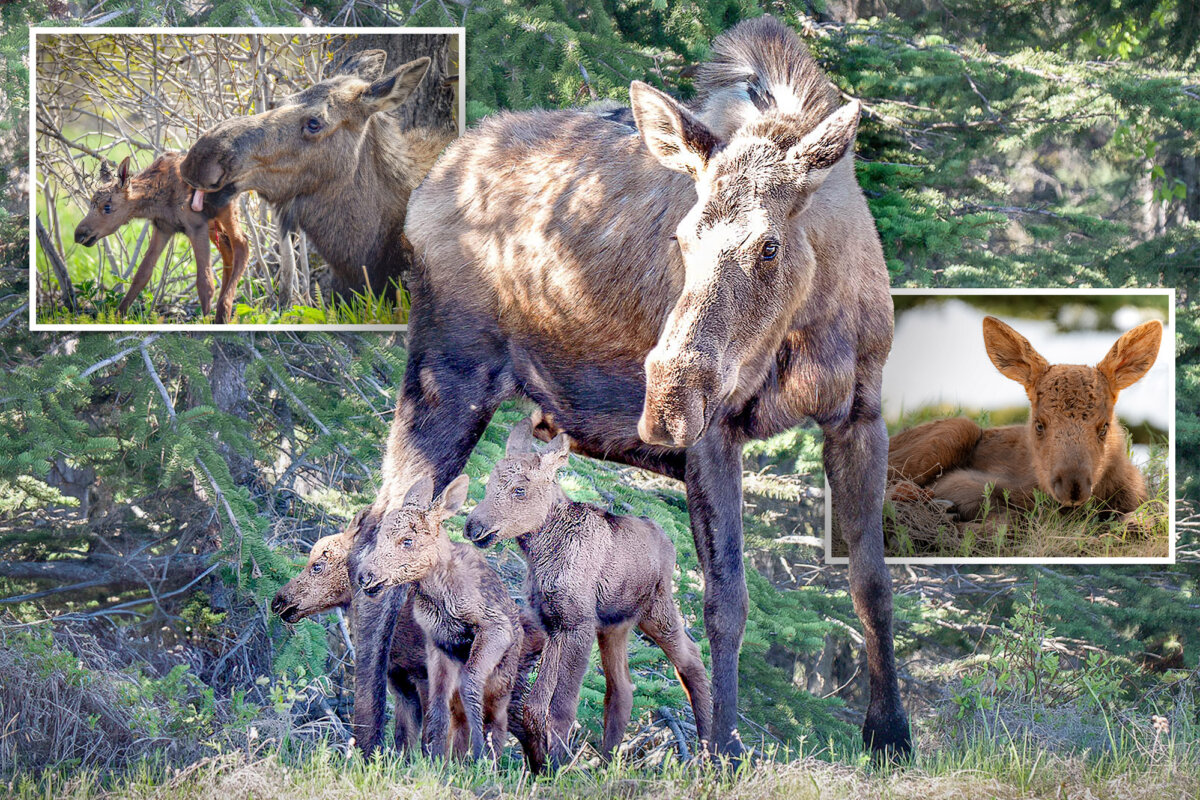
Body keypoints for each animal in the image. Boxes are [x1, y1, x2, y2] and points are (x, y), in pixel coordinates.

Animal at [72, 153, 249, 323]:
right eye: (91, 203)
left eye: (107, 207)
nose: (79, 234)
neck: (157, 200)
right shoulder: (163, 228)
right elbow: (142, 274)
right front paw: (118, 316)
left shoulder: (196, 226)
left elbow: (205, 283)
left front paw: (205, 321)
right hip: (213, 222)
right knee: (228, 250)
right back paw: (221, 313)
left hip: (226, 209)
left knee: (242, 244)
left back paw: (224, 308)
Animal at [355, 475, 533, 763]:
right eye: (380, 536)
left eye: (407, 540)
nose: (366, 575)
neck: (439, 595)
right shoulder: (437, 643)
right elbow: (438, 704)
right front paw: (434, 758)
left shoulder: (494, 627)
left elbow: (470, 686)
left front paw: (479, 757)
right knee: (457, 716)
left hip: (502, 683)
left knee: (497, 722)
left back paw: (489, 761)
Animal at [464, 420, 713, 773]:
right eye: (487, 484)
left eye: (519, 490)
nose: (473, 526)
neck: (542, 553)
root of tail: (669, 541)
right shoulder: (553, 624)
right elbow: (534, 705)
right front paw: (542, 766)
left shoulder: (576, 625)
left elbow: (561, 708)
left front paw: (557, 768)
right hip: (614, 627)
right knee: (621, 688)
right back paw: (607, 763)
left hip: (657, 611)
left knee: (692, 660)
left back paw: (709, 754)